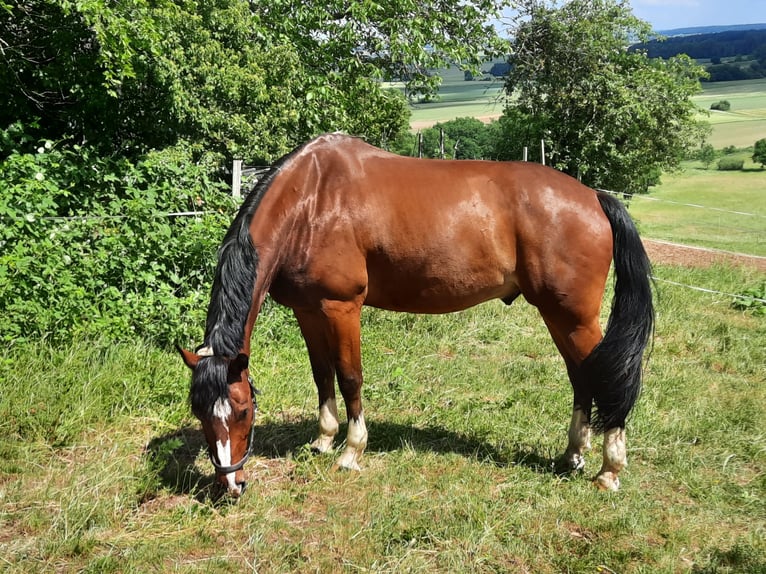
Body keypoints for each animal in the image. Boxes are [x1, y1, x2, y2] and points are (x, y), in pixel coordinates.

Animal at [178, 133, 654, 497]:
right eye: (200, 415)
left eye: (242, 411)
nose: (231, 485)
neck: (310, 201)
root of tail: (594, 196)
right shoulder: (308, 310)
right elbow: (322, 375)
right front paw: (323, 439)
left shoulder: (342, 308)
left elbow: (349, 377)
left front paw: (351, 450)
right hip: (560, 317)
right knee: (582, 377)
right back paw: (573, 455)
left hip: (573, 317)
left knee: (607, 379)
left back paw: (608, 471)